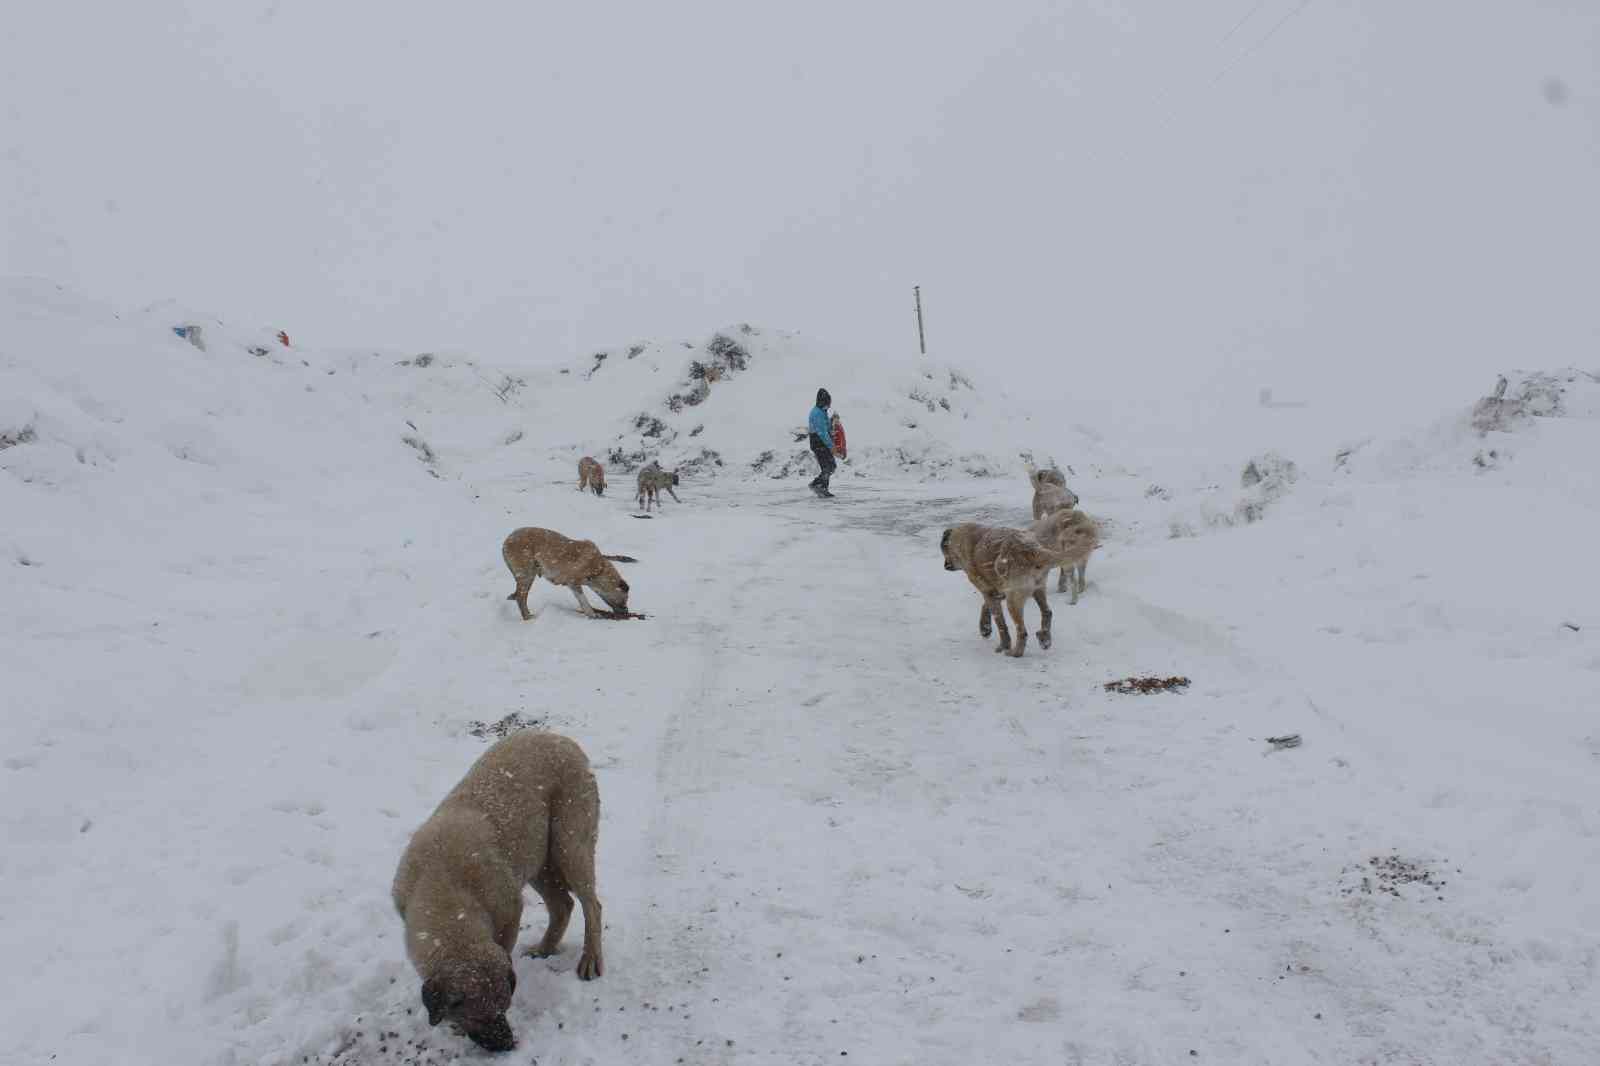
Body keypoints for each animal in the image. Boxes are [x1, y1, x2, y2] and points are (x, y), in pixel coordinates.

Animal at [393, 729, 604, 1043]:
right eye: (477, 1018)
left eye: (505, 1008)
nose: (508, 1043)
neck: (444, 886)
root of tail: (563, 739)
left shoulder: (509, 911)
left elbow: (504, 947)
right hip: (537, 860)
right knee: (563, 905)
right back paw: (544, 949)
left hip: (570, 844)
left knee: (592, 905)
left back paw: (590, 959)